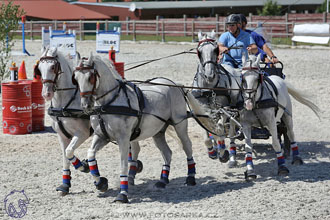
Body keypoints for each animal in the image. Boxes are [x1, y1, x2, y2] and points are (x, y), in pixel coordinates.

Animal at [34, 47, 91, 195]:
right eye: (39, 68)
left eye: (53, 67)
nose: (46, 94)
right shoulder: (62, 135)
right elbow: (65, 157)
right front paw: (65, 184)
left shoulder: (82, 133)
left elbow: (69, 151)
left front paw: (83, 166)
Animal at [72, 53, 196, 203]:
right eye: (75, 78)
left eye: (90, 77)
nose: (85, 105)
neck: (108, 103)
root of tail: (174, 84)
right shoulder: (102, 136)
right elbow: (90, 154)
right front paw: (100, 182)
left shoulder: (123, 139)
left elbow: (124, 164)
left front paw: (122, 194)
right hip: (158, 132)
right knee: (167, 152)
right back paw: (162, 181)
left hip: (180, 125)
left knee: (187, 146)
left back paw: (191, 178)